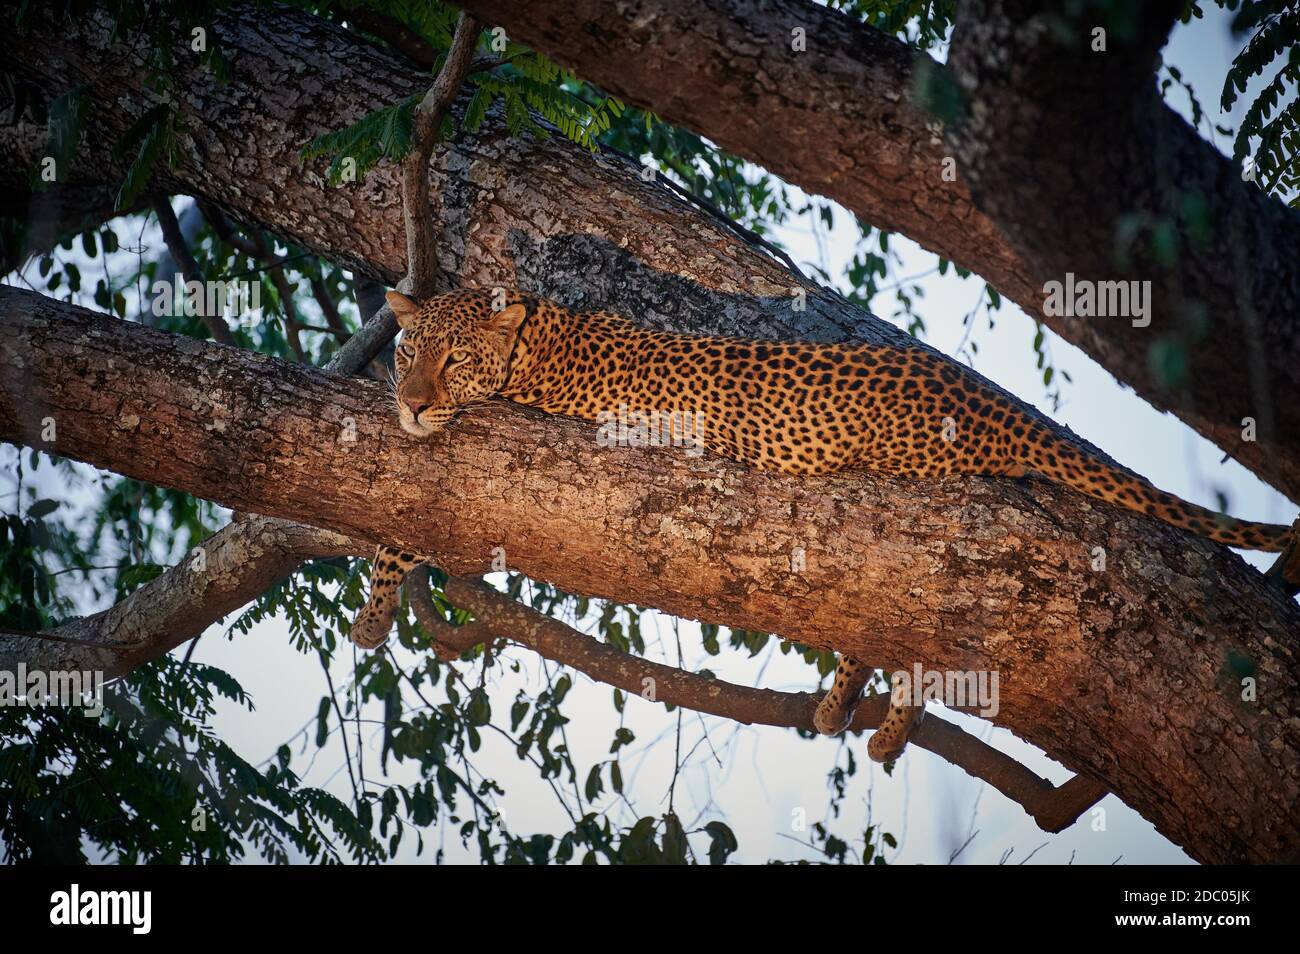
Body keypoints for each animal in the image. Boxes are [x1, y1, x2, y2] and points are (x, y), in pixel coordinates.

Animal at [351, 287, 1300, 763]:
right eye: (407, 351)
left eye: (454, 359)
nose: (412, 403)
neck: (536, 339)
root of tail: (971, 391)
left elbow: (406, 527)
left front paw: (371, 612)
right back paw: (854, 709)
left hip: (901, 496)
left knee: (906, 631)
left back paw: (872, 712)